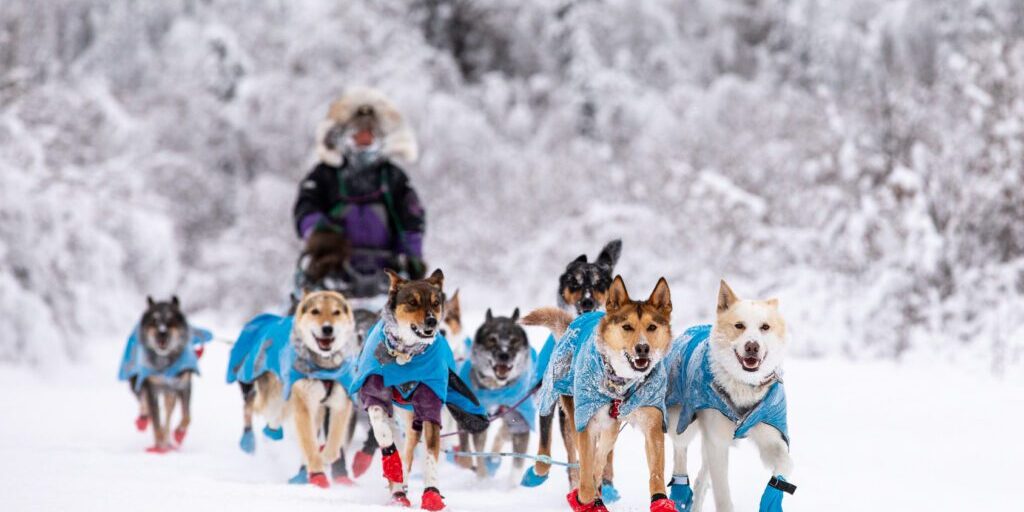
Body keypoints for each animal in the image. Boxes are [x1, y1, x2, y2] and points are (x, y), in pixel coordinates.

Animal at [253, 292, 362, 487]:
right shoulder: (303, 405)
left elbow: (334, 442)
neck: (325, 367)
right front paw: (317, 469)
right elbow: (309, 444)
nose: (327, 329)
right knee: (273, 422)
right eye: (315, 311)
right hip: (277, 402)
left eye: (336, 312)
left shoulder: (340, 404)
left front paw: (325, 457)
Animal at [524, 276, 675, 512]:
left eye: (652, 327)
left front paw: (660, 501)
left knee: (600, 457)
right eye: (627, 327)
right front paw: (584, 497)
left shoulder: (652, 420)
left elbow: (656, 471)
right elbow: (586, 474)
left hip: (611, 428)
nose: (643, 348)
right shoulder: (585, 421)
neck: (622, 385)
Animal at [663, 280, 798, 512]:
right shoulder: (717, 442)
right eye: (739, 326)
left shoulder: (771, 435)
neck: (744, 385)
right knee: (680, 451)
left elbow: (785, 464)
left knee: (701, 480)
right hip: (682, 422)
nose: (752, 346)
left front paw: (772, 498)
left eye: (765, 327)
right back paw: (680, 494)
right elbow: (723, 495)